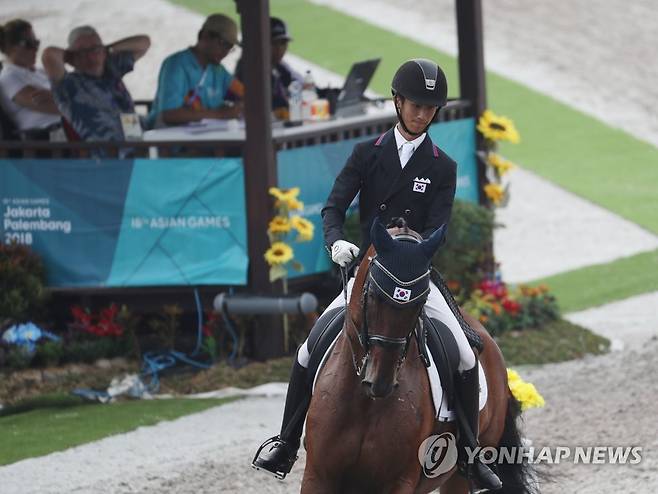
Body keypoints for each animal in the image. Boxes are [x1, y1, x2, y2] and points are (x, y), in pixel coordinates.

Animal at [300, 223, 536, 494]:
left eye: (421, 301)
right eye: (373, 296)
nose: (380, 383)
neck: (365, 403)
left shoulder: (399, 482)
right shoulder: (317, 476)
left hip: (461, 470)